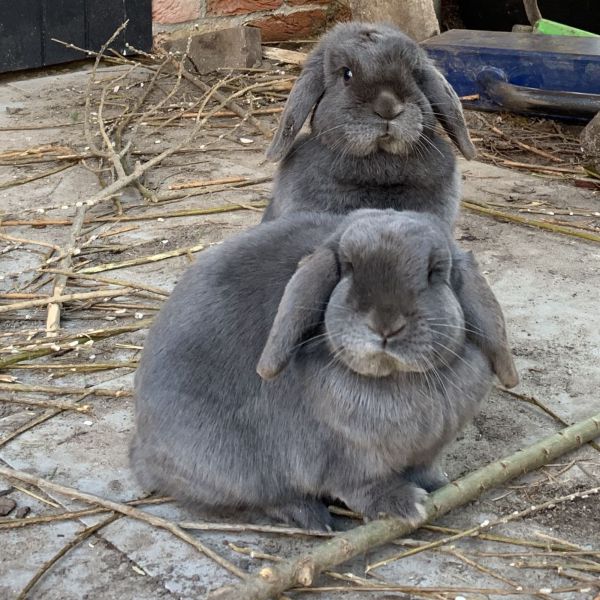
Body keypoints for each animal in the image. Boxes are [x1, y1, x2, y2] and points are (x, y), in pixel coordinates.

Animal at [130, 209, 516, 528]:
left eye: (435, 271)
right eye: (347, 267)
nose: (385, 325)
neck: (392, 377)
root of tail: (143, 454)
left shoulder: (426, 452)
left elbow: (425, 469)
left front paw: (438, 484)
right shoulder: (343, 462)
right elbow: (362, 488)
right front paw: (406, 504)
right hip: (228, 468)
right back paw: (309, 516)